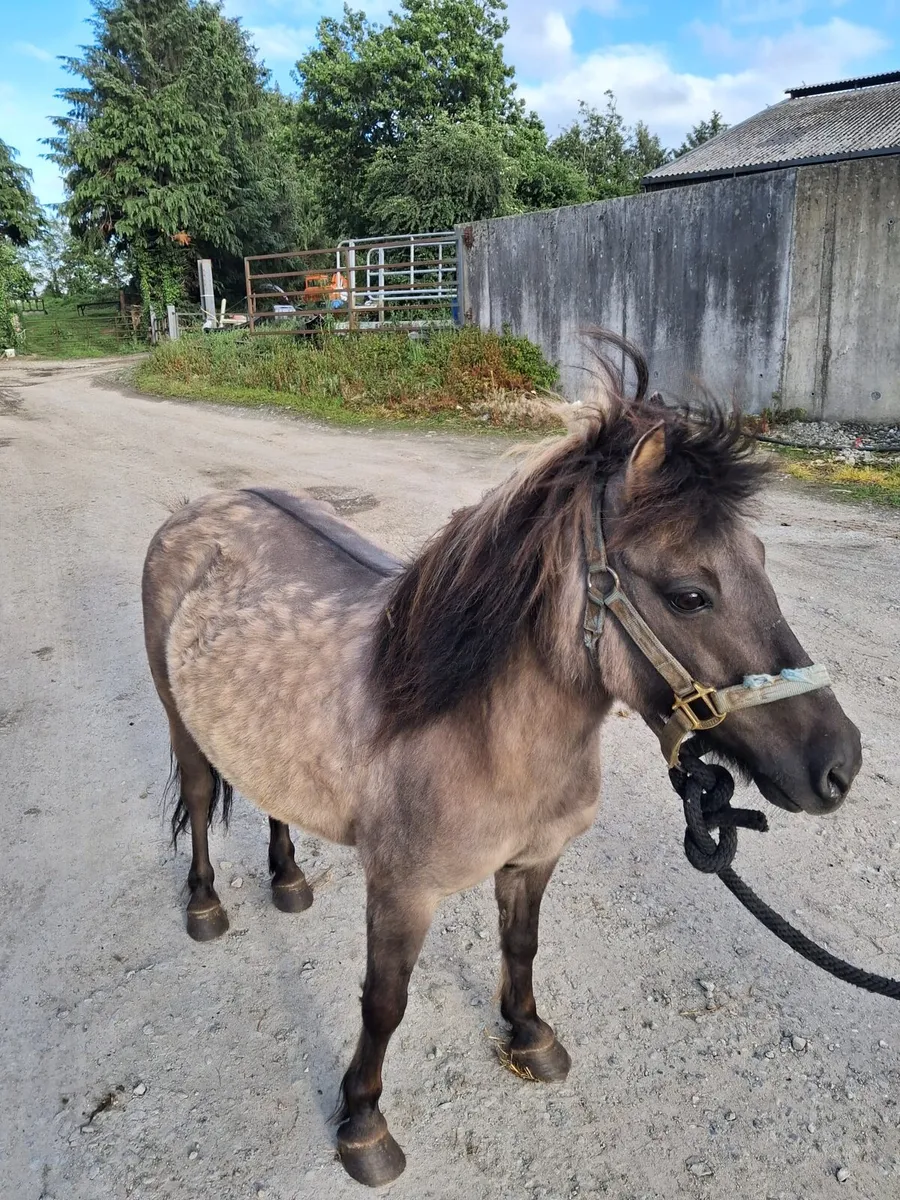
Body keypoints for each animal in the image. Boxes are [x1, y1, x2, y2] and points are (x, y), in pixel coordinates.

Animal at [141, 334, 861, 1187]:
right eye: (690, 594)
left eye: (761, 559)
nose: (839, 765)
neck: (478, 735)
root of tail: (199, 511)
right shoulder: (402, 892)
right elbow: (385, 1003)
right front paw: (363, 1124)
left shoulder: (534, 861)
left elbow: (521, 948)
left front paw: (529, 1036)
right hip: (180, 722)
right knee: (198, 794)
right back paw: (204, 907)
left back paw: (288, 881)